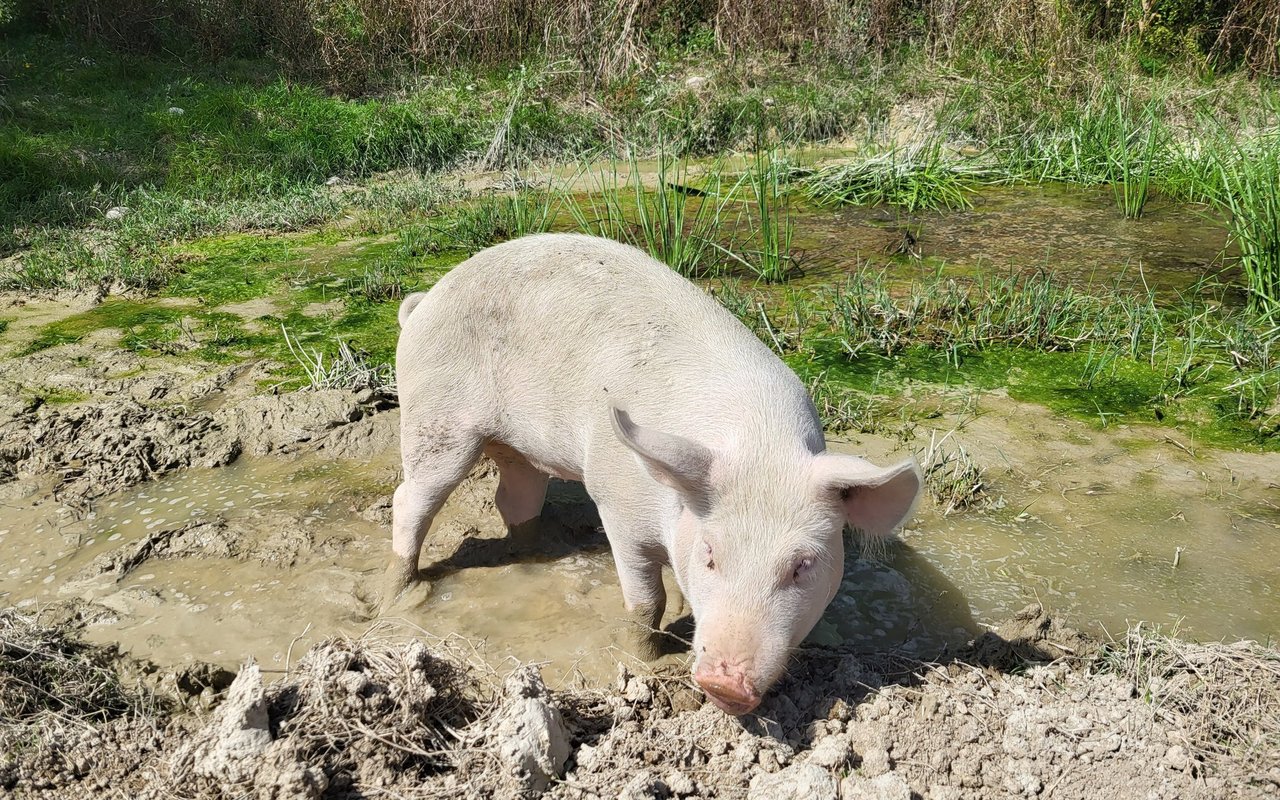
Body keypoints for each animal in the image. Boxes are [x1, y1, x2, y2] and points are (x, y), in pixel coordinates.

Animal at [386, 233, 921, 715]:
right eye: (710, 553)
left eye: (802, 565)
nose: (724, 684)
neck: (758, 442)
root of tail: (424, 302)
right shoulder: (617, 504)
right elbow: (647, 602)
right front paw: (646, 661)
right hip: (437, 417)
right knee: (410, 499)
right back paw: (402, 595)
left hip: (516, 448)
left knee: (514, 499)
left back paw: (532, 555)